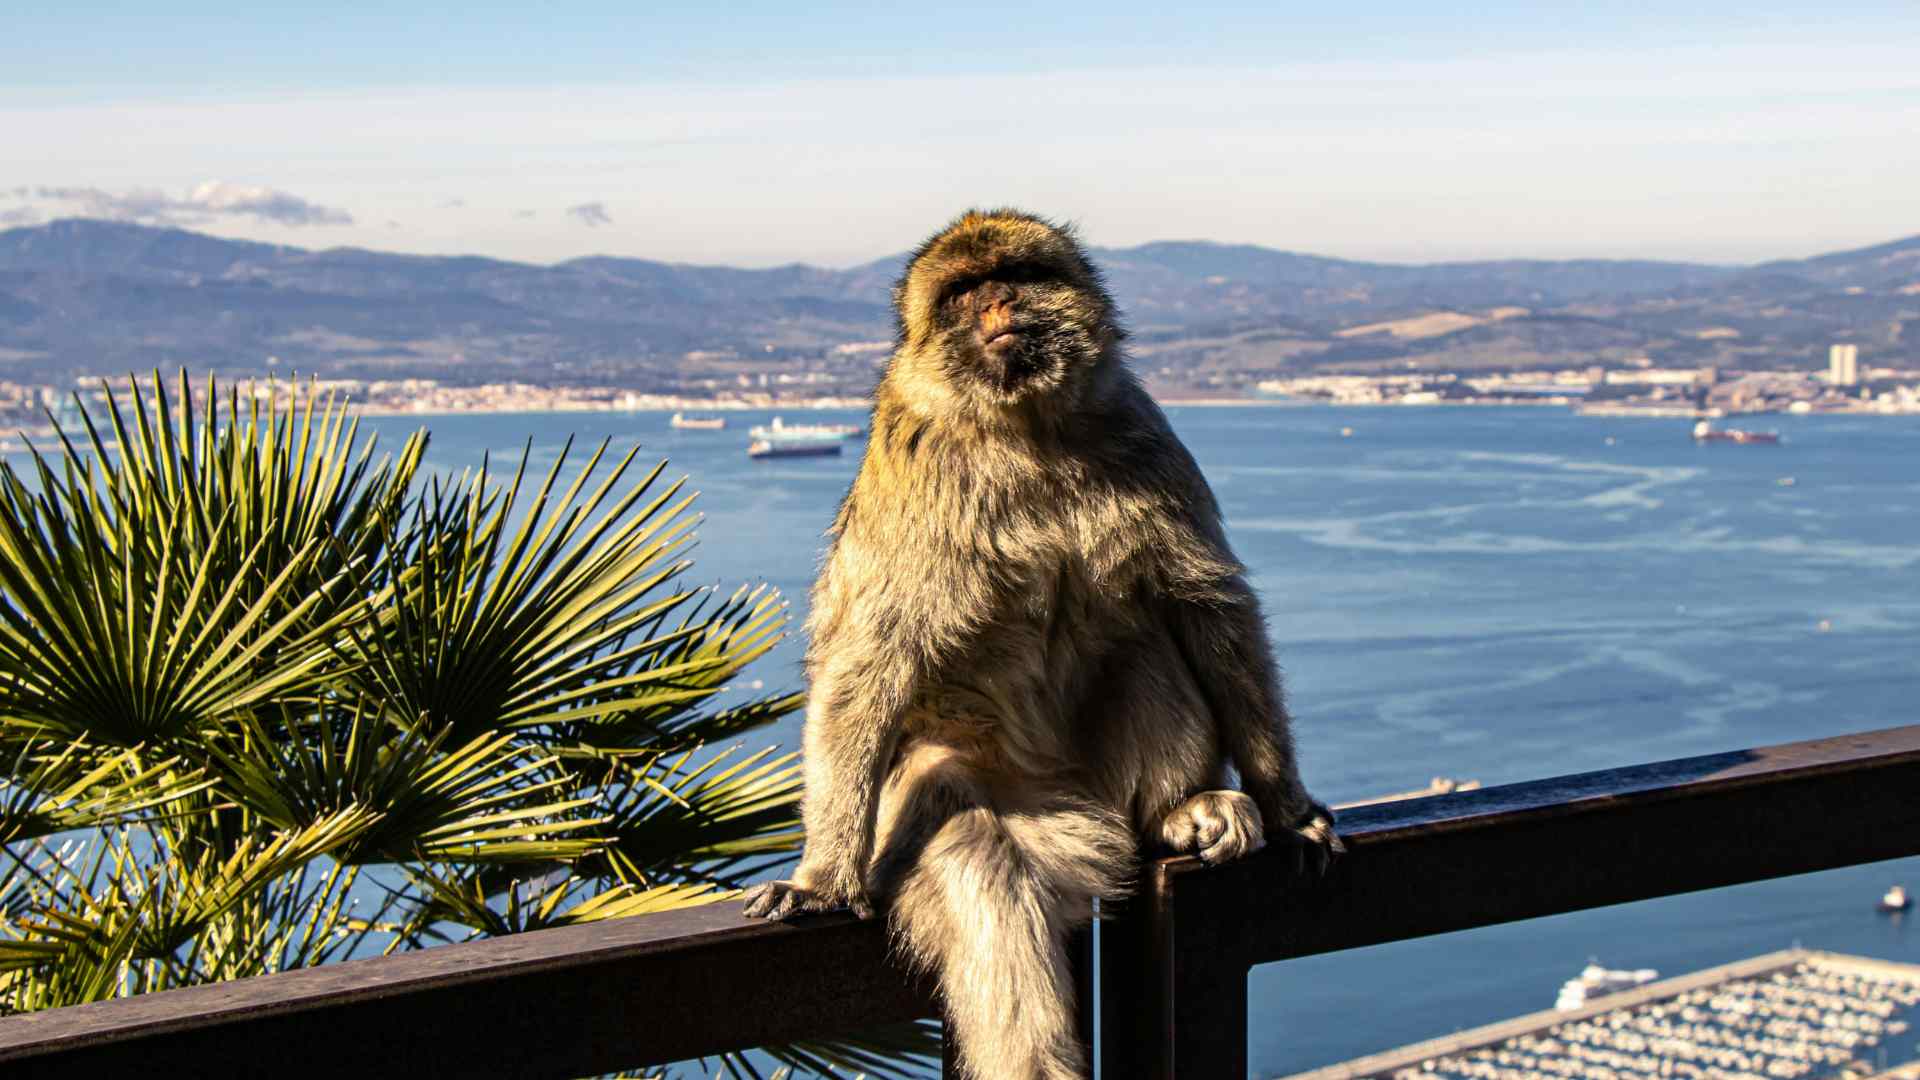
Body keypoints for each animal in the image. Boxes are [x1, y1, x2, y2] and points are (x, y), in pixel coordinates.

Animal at [742, 209, 1341, 1079]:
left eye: (1016, 274)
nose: (997, 302)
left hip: (1101, 788)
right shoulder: (916, 477)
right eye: (963, 291)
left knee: (1145, 650)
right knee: (975, 853)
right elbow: (869, 662)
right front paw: (821, 878)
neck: (1025, 430)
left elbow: (1207, 607)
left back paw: (1175, 815)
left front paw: (1288, 806)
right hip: (971, 802)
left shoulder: (1146, 437)